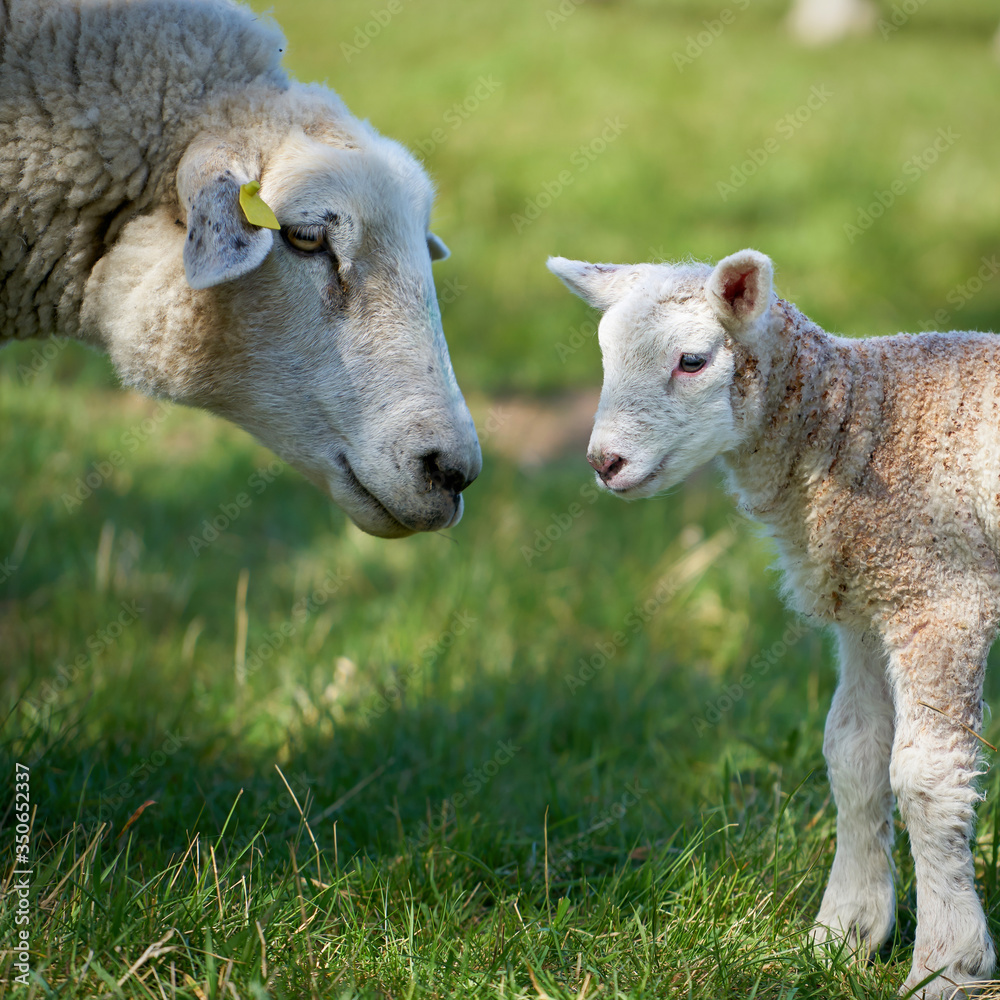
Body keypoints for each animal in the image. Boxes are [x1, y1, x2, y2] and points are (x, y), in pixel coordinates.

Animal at [552, 246, 1000, 996]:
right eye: (606, 355)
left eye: (693, 361)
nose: (604, 462)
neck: (869, 421)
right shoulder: (867, 603)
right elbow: (854, 756)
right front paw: (842, 935)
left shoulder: (942, 594)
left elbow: (926, 776)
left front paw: (947, 964)